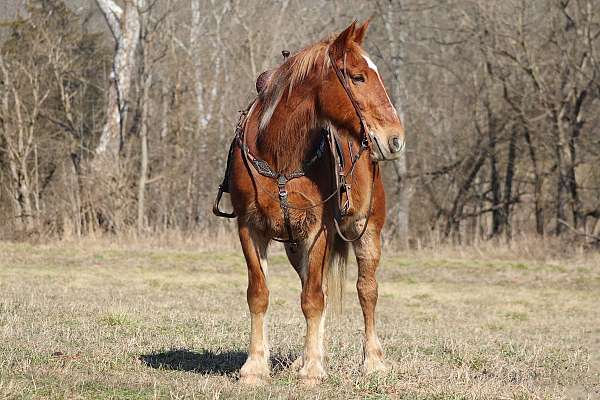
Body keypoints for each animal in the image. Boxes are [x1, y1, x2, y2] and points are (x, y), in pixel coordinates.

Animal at [224, 20, 404, 382]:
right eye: (358, 77)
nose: (395, 138)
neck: (279, 153)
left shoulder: (318, 231)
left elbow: (313, 300)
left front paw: (312, 371)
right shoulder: (250, 228)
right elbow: (259, 294)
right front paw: (255, 366)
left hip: (367, 232)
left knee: (366, 290)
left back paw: (373, 360)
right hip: (295, 248)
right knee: (316, 285)